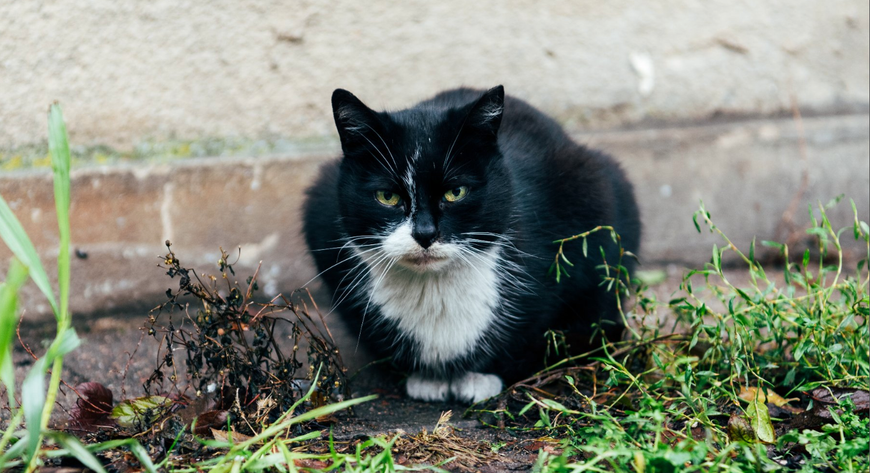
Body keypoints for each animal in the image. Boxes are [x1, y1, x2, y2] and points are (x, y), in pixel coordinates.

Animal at [304, 85, 644, 402]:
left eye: (456, 192)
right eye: (387, 196)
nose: (425, 234)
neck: (434, 288)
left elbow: (533, 330)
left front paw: (478, 377)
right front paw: (428, 378)